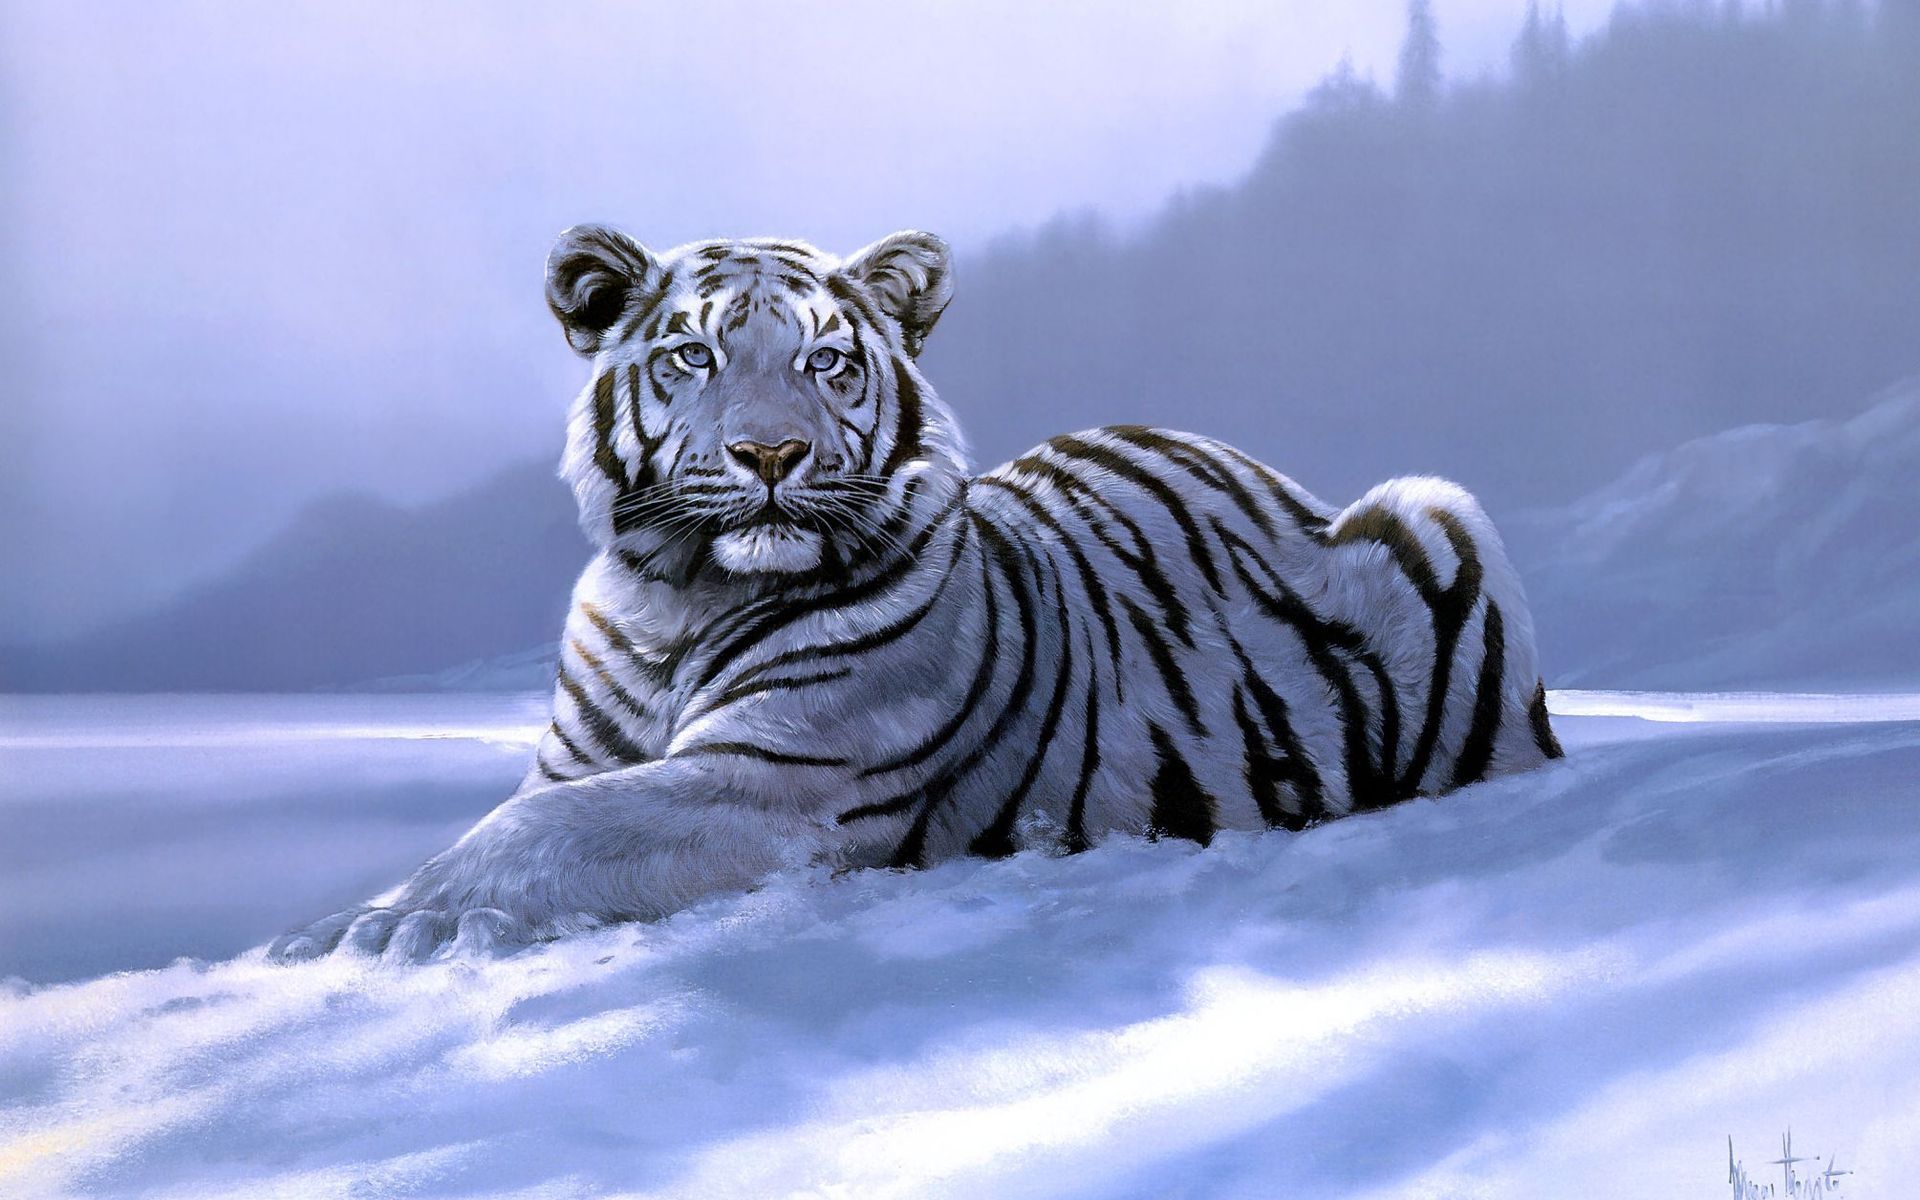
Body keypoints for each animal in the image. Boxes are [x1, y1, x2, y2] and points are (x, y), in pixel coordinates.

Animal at [270, 225, 1565, 963]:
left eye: (826, 361)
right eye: (692, 355)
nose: (771, 454)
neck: (676, 600)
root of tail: (1269, 472)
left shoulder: (775, 779)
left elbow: (539, 831)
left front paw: (378, 926)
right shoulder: (583, 757)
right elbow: (527, 812)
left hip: (1439, 511)